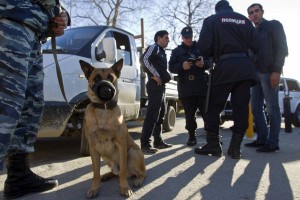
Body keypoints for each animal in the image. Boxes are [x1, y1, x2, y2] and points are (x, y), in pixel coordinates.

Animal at [79, 59, 146, 198]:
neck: (103, 109)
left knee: (140, 172)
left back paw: (138, 180)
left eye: (111, 78)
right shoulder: (93, 149)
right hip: (106, 159)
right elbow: (95, 172)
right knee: (116, 173)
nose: (106, 89)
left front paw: (124, 188)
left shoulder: (121, 145)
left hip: (133, 152)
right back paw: (107, 175)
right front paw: (94, 188)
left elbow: (122, 173)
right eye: (96, 78)